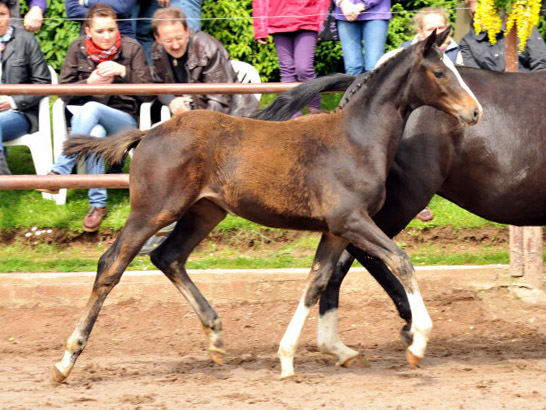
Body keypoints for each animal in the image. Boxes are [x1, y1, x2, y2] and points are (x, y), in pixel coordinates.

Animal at [53, 31, 478, 382]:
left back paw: (216, 338)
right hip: (153, 211)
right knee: (111, 264)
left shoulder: (335, 230)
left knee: (168, 257)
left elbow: (316, 282)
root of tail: (147, 133)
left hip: (205, 212)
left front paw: (289, 358)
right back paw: (66, 360)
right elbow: (400, 261)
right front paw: (418, 342)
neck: (357, 139)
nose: (475, 112)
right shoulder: (352, 220)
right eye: (439, 73)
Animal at [260, 65, 544, 366]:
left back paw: (340, 345)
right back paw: (408, 325)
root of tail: (361, 81)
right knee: (364, 254)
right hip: (402, 199)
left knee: (340, 262)